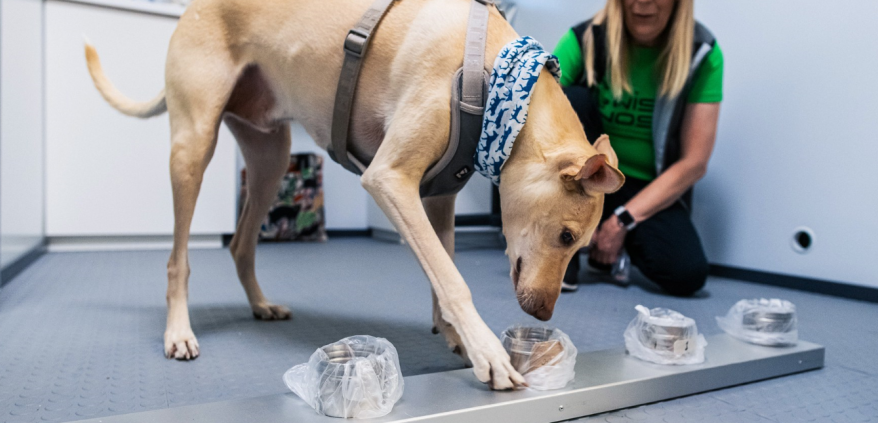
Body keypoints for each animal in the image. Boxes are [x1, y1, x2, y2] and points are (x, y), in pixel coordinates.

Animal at [86, 0, 624, 390]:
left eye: (580, 244)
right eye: (566, 235)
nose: (542, 314)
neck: (499, 82)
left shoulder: (438, 198)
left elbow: (443, 268)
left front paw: (455, 336)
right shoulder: (389, 180)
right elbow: (453, 280)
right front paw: (488, 351)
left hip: (270, 159)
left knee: (240, 244)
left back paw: (261, 304)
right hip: (193, 147)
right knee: (177, 259)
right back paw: (178, 332)